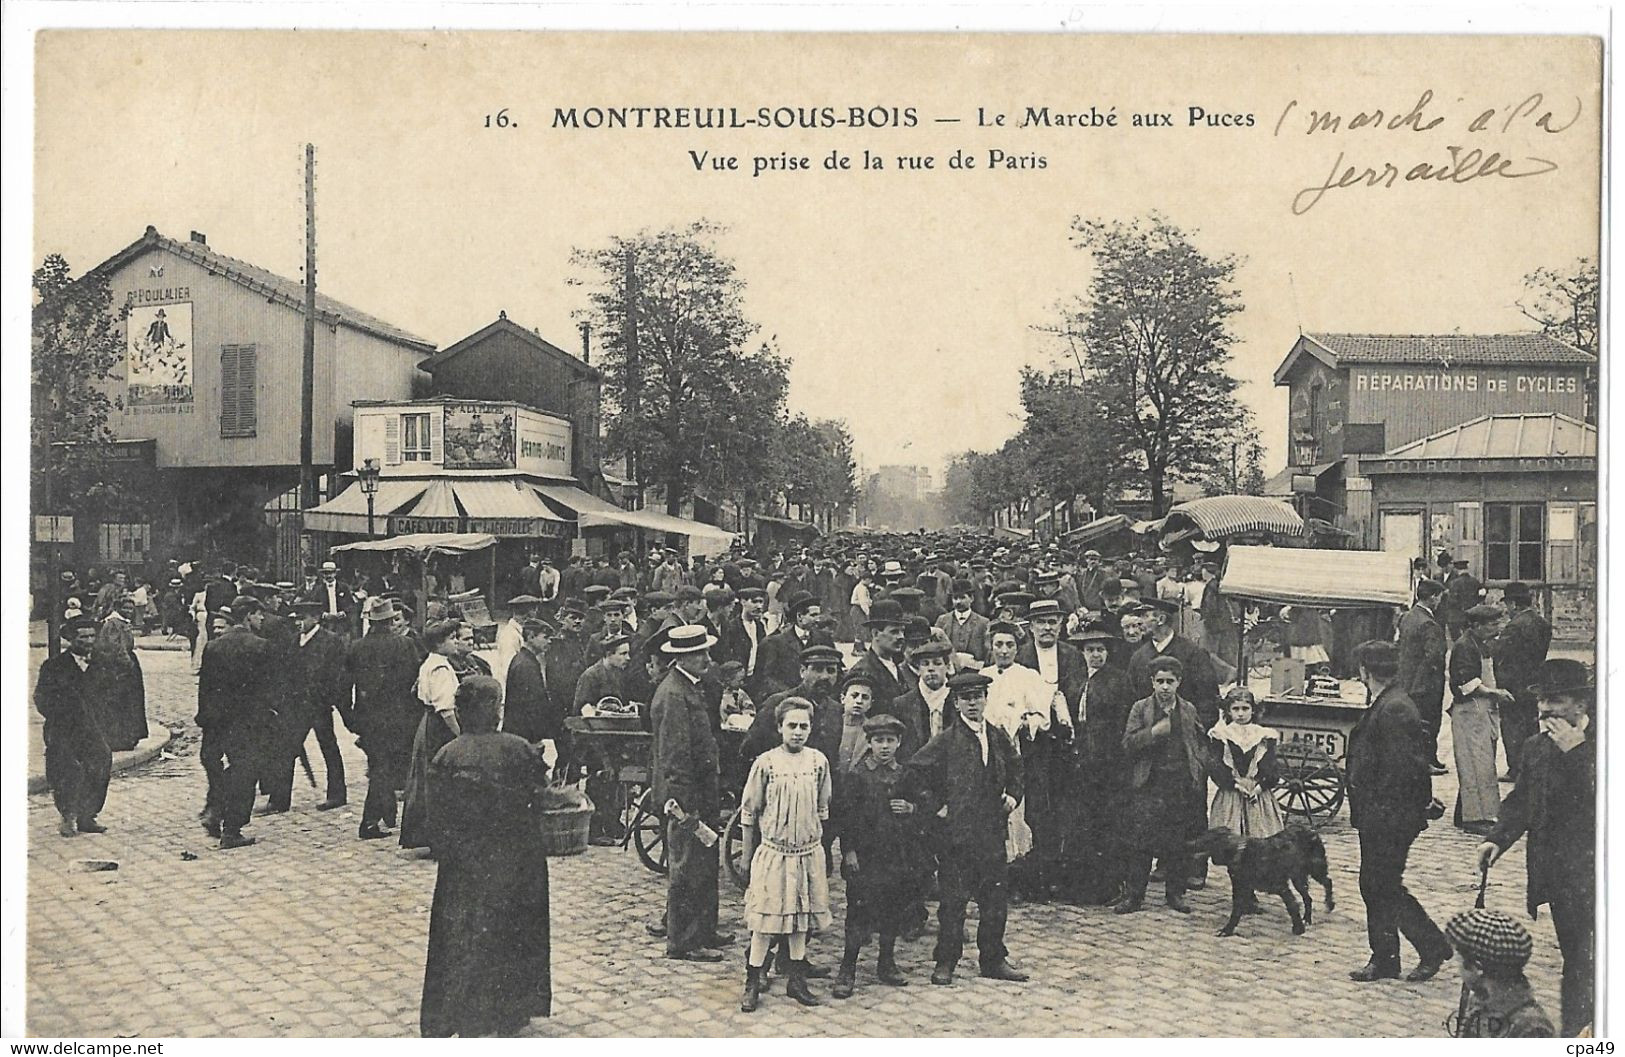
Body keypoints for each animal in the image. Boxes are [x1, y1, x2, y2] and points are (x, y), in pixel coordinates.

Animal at [1196, 822, 1332, 930]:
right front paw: (1228, 930)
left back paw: (1329, 904)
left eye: (1206, 839)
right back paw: (1307, 918)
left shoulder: (1281, 887)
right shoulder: (1240, 888)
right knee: (1308, 898)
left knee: (1328, 882)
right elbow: (1236, 912)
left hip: (1316, 868)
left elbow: (1292, 906)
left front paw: (1298, 929)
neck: (1241, 853)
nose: (1191, 843)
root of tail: (1311, 829)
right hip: (1298, 878)